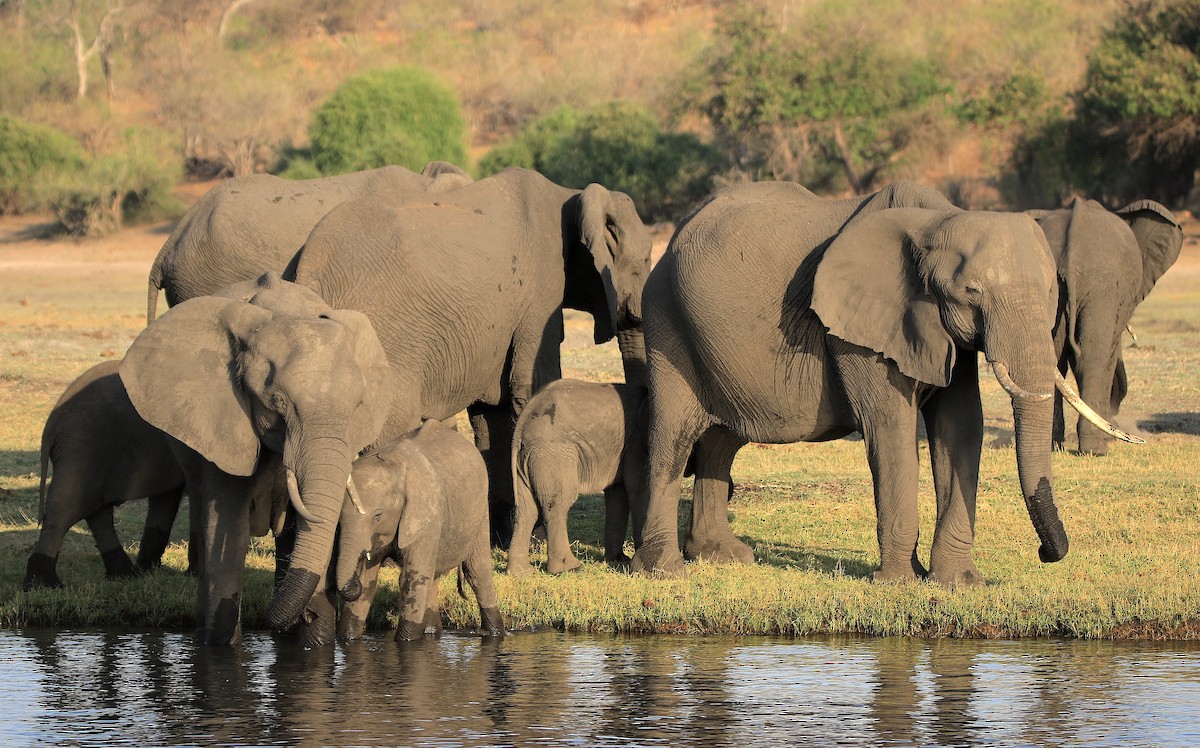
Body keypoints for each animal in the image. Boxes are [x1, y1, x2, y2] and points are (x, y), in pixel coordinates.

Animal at [23, 360, 186, 591]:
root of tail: (52, 422)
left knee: (97, 510)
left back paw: (126, 575)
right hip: (83, 447)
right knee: (66, 508)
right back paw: (44, 586)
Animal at [119, 272, 394, 644]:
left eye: (358, 405)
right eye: (277, 401)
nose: (305, 615)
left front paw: (313, 640)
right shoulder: (220, 420)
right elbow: (229, 528)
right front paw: (221, 645)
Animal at [335, 419, 505, 641]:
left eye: (377, 516)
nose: (352, 582)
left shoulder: (426, 513)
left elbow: (412, 579)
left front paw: (407, 640)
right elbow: (368, 581)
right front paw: (347, 639)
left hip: (480, 507)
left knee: (477, 571)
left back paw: (495, 634)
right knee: (432, 575)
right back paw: (432, 633)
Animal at [631, 180, 1136, 583]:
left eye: (1053, 290)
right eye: (971, 292)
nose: (1046, 554)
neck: (936, 222)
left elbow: (959, 427)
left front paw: (959, 584)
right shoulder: (862, 328)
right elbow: (890, 426)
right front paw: (900, 583)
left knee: (722, 439)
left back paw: (721, 558)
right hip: (665, 320)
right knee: (674, 438)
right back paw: (663, 571)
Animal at [1028, 197, 1183, 455]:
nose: (1115, 407)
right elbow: (1107, 353)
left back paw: (1053, 447)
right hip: (1102, 285)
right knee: (1094, 356)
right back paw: (1095, 449)